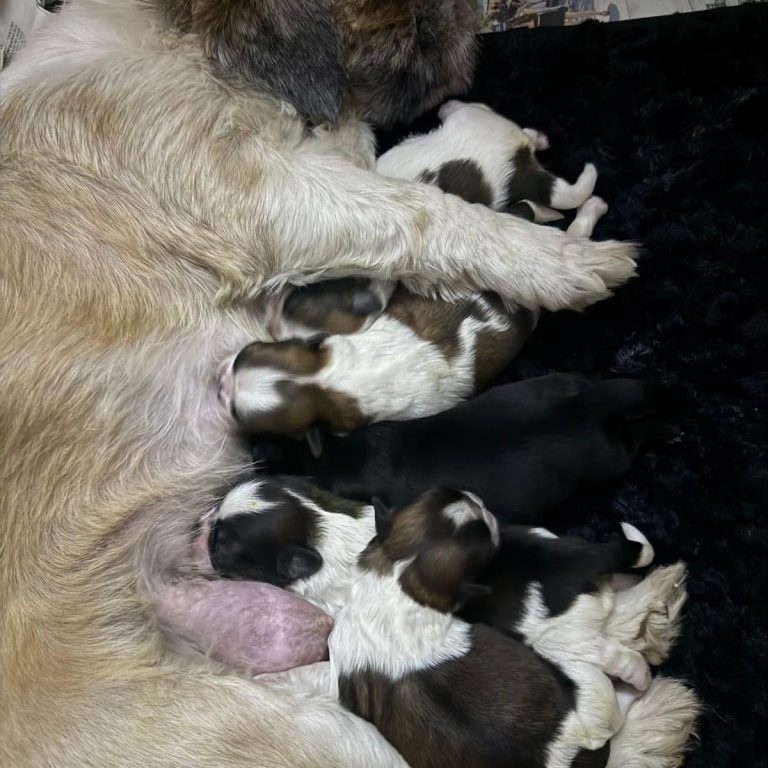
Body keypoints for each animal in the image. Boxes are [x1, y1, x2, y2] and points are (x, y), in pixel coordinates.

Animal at [250, 373, 677, 519]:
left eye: (269, 439)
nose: (249, 444)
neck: (338, 450)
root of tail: (579, 407)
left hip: (610, 461)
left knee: (636, 436)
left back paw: (668, 432)